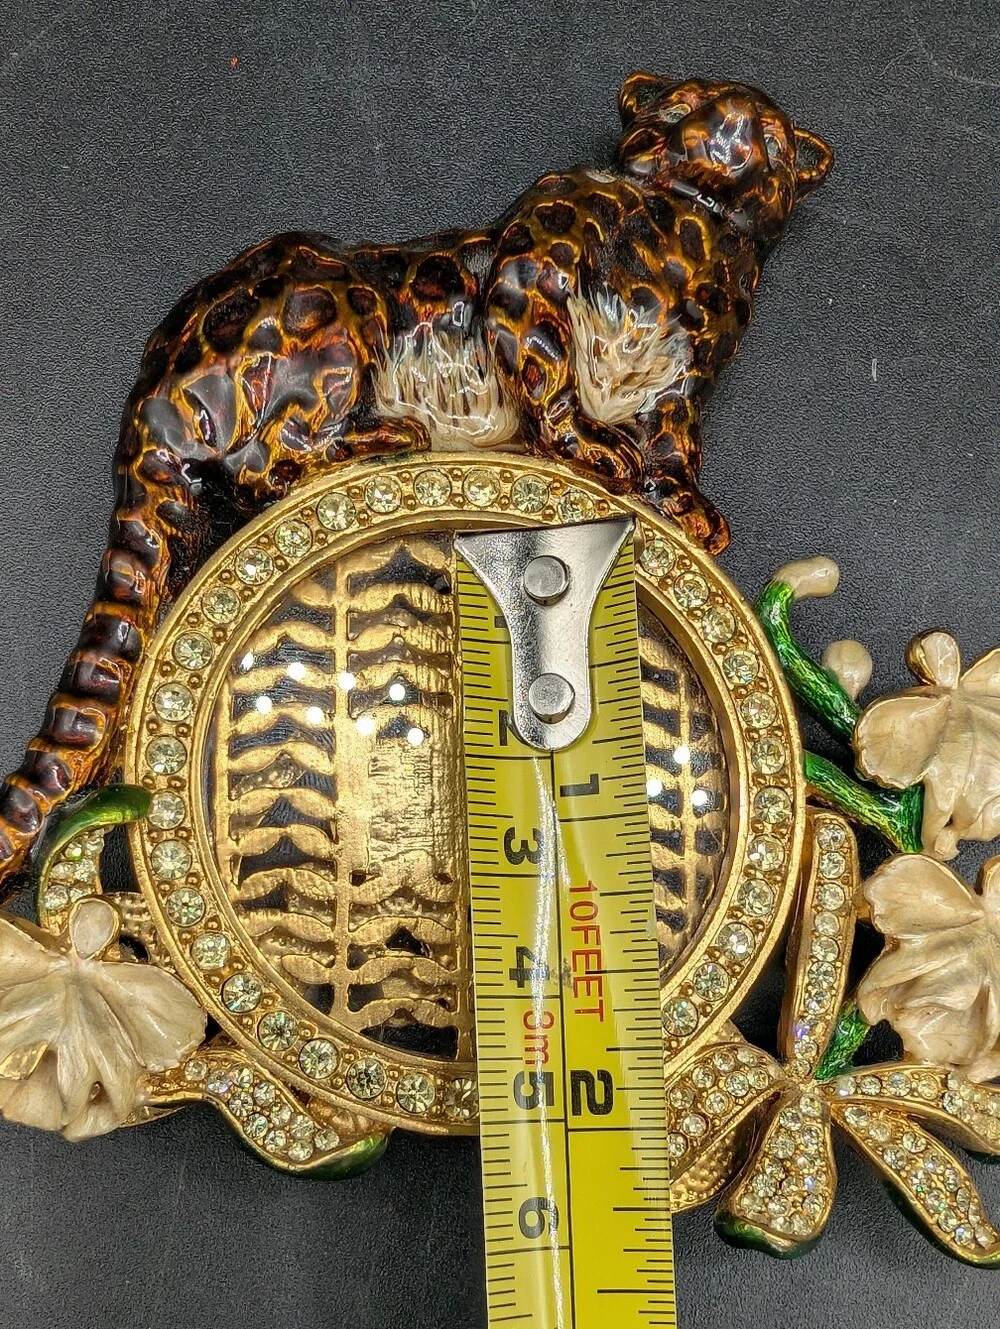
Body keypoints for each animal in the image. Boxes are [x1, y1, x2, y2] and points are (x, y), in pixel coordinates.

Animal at [0, 71, 831, 893]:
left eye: (764, 132)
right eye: (682, 104)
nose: (721, 129)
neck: (686, 228)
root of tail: (150, 394)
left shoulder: (684, 376)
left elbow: (672, 437)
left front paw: (681, 499)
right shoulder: (535, 274)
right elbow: (550, 370)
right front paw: (589, 444)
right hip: (337, 311)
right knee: (264, 460)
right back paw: (380, 436)